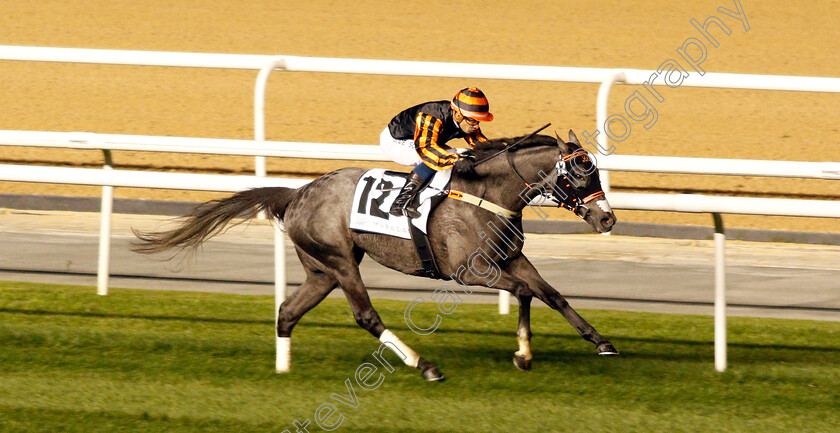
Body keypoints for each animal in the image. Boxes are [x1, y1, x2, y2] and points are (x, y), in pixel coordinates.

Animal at [131, 130, 616, 380]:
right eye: (577, 173)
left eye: (594, 169)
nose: (607, 218)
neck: (487, 195)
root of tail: (298, 193)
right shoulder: (470, 272)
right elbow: (525, 293)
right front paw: (523, 354)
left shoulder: (511, 259)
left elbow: (551, 294)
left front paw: (601, 342)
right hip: (341, 261)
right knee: (365, 315)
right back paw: (424, 365)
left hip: (321, 271)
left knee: (288, 311)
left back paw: (283, 368)